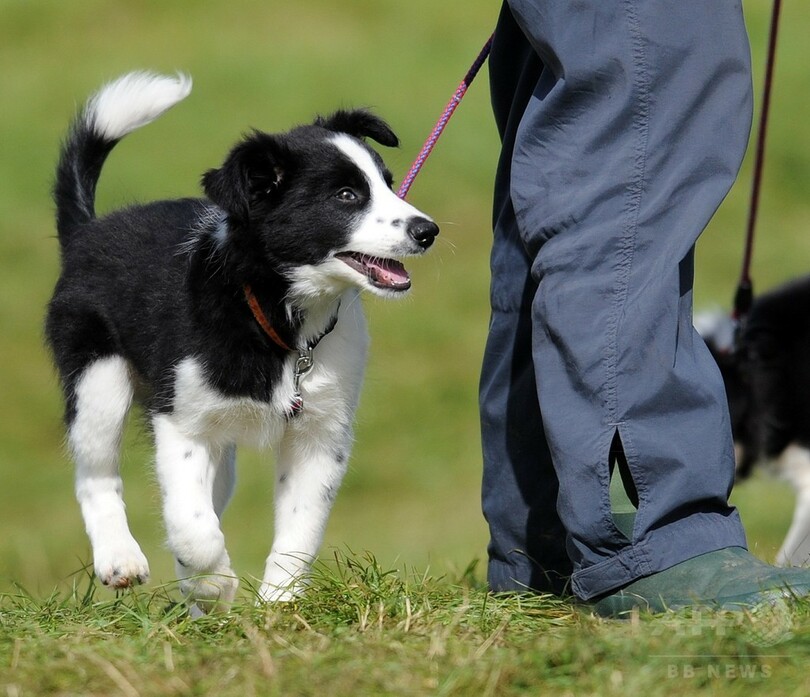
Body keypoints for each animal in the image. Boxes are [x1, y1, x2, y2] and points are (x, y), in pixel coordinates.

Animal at [45, 73, 436, 612]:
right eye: (346, 195)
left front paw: (278, 605)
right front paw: (216, 584)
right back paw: (121, 560)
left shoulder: (321, 434)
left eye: (389, 184)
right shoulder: (181, 422)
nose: (427, 230)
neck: (281, 320)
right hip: (96, 379)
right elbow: (193, 527)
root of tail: (87, 230)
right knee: (96, 477)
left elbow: (298, 528)